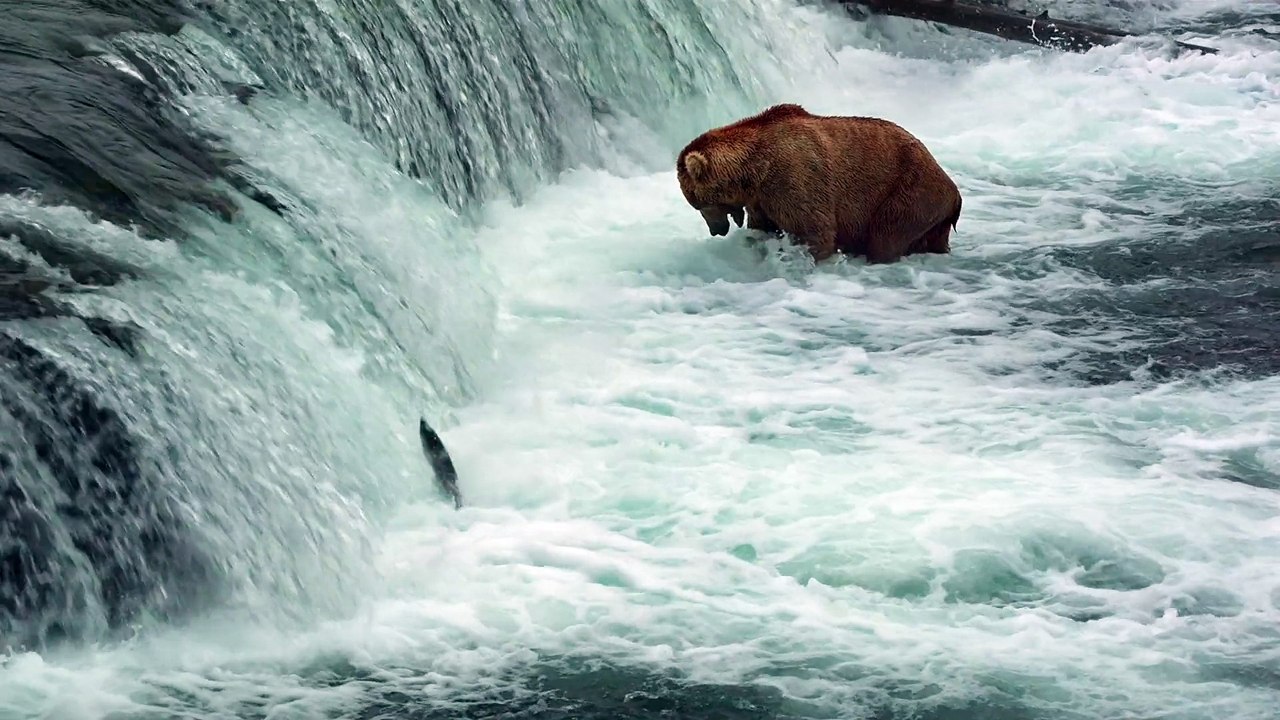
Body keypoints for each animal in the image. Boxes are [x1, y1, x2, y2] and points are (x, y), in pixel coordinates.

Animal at [676, 103, 962, 264]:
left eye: (699, 203)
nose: (716, 230)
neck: (756, 170)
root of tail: (954, 193)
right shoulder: (762, 200)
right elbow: (762, 228)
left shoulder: (794, 178)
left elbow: (815, 230)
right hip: (931, 215)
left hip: (909, 192)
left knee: (886, 235)